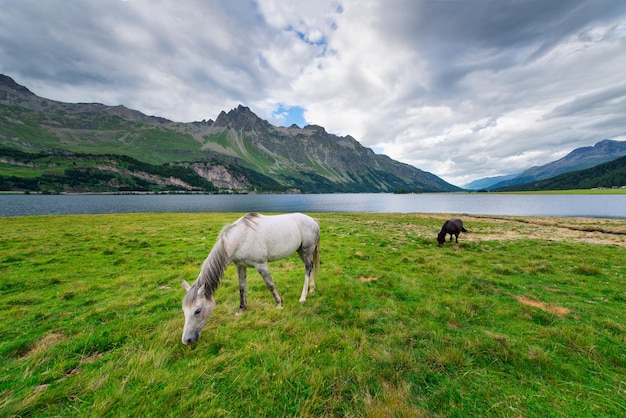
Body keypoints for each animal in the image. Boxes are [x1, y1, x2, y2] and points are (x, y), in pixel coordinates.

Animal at [179, 214, 316, 344]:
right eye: (184, 310)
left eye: (197, 311)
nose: (186, 340)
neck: (241, 237)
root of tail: (313, 220)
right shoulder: (240, 265)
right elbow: (242, 286)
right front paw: (241, 309)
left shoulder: (261, 265)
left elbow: (270, 285)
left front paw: (279, 303)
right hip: (301, 251)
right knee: (311, 266)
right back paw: (312, 289)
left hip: (306, 251)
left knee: (308, 268)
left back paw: (303, 297)